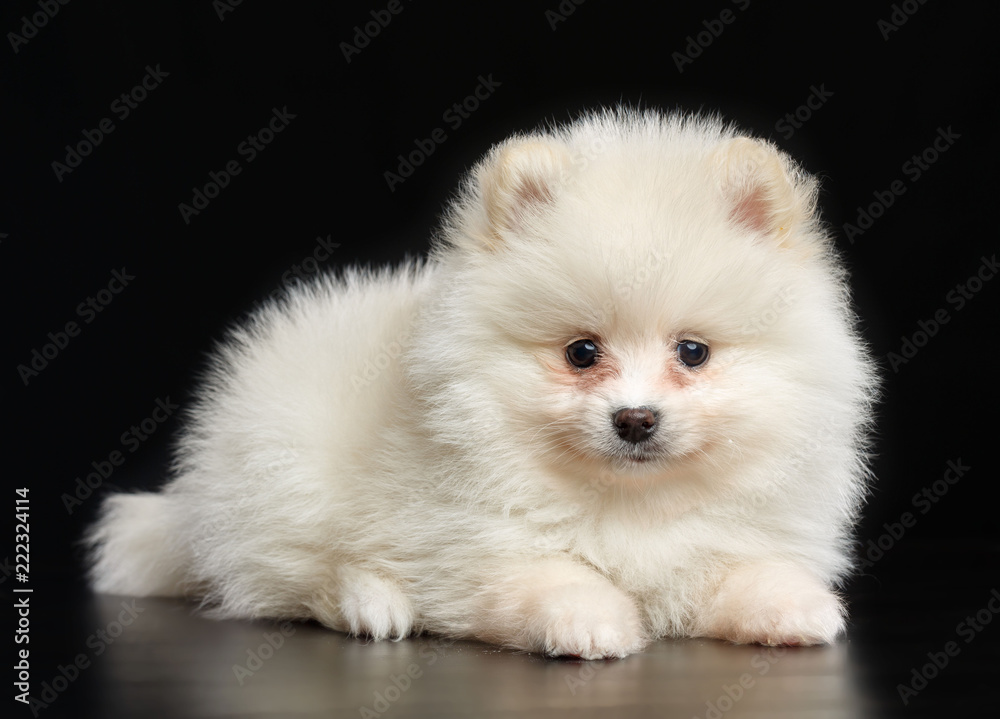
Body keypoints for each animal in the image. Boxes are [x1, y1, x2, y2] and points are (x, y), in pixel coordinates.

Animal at [90, 109, 880, 660]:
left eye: (693, 352)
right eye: (582, 352)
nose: (635, 418)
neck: (627, 500)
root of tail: (194, 497)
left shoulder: (724, 534)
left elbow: (737, 566)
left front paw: (797, 605)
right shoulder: (470, 545)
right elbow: (544, 574)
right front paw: (590, 617)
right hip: (285, 478)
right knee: (290, 577)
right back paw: (373, 603)